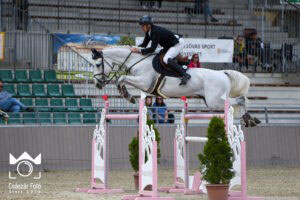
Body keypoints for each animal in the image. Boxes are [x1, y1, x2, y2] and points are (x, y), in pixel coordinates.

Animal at [91, 46, 260, 126]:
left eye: (98, 64)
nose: (97, 84)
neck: (138, 61)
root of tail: (223, 73)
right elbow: (122, 79)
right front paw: (127, 95)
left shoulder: (144, 83)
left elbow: (121, 78)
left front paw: (128, 96)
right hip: (211, 101)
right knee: (238, 101)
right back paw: (250, 120)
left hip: (215, 101)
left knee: (240, 99)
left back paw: (249, 120)